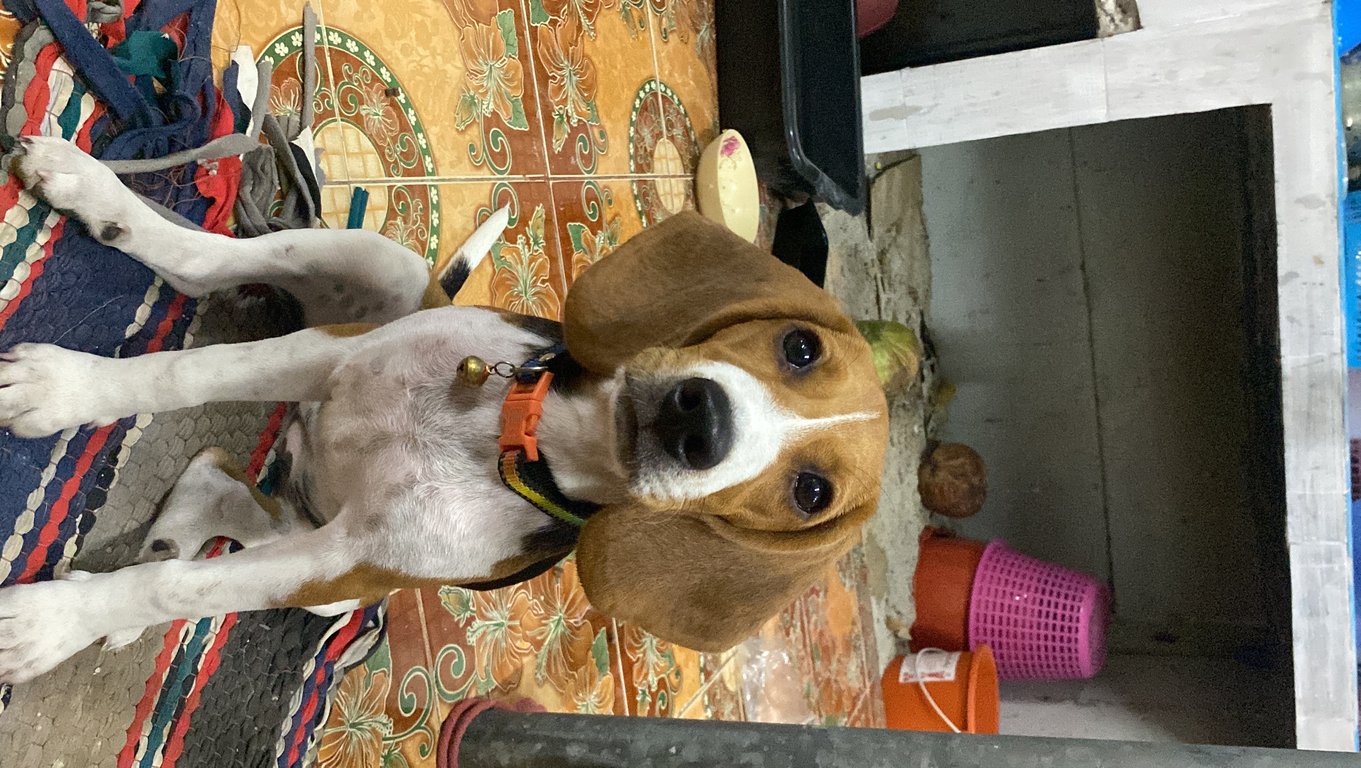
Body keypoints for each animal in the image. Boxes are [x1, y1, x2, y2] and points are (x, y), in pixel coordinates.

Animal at [0, 136, 888, 684]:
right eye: (799, 348)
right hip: (378, 269)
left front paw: (54, 624)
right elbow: (185, 373)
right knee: (206, 264)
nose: (701, 421)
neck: (518, 436)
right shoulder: (335, 355)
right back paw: (99, 192)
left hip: (330, 585)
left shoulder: (343, 561)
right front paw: (68, 390)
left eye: (810, 494)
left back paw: (167, 543)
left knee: (229, 499)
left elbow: (176, 592)